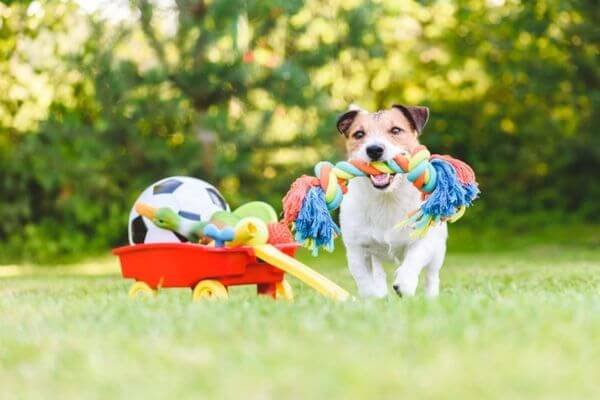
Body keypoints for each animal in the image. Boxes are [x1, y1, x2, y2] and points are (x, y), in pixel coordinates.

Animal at [338, 104, 446, 298]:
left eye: (396, 130)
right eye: (359, 134)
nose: (374, 149)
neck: (387, 198)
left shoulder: (424, 239)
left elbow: (414, 258)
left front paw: (404, 283)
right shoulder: (356, 249)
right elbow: (364, 279)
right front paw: (371, 298)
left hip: (438, 250)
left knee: (431, 275)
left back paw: (431, 296)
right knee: (379, 274)